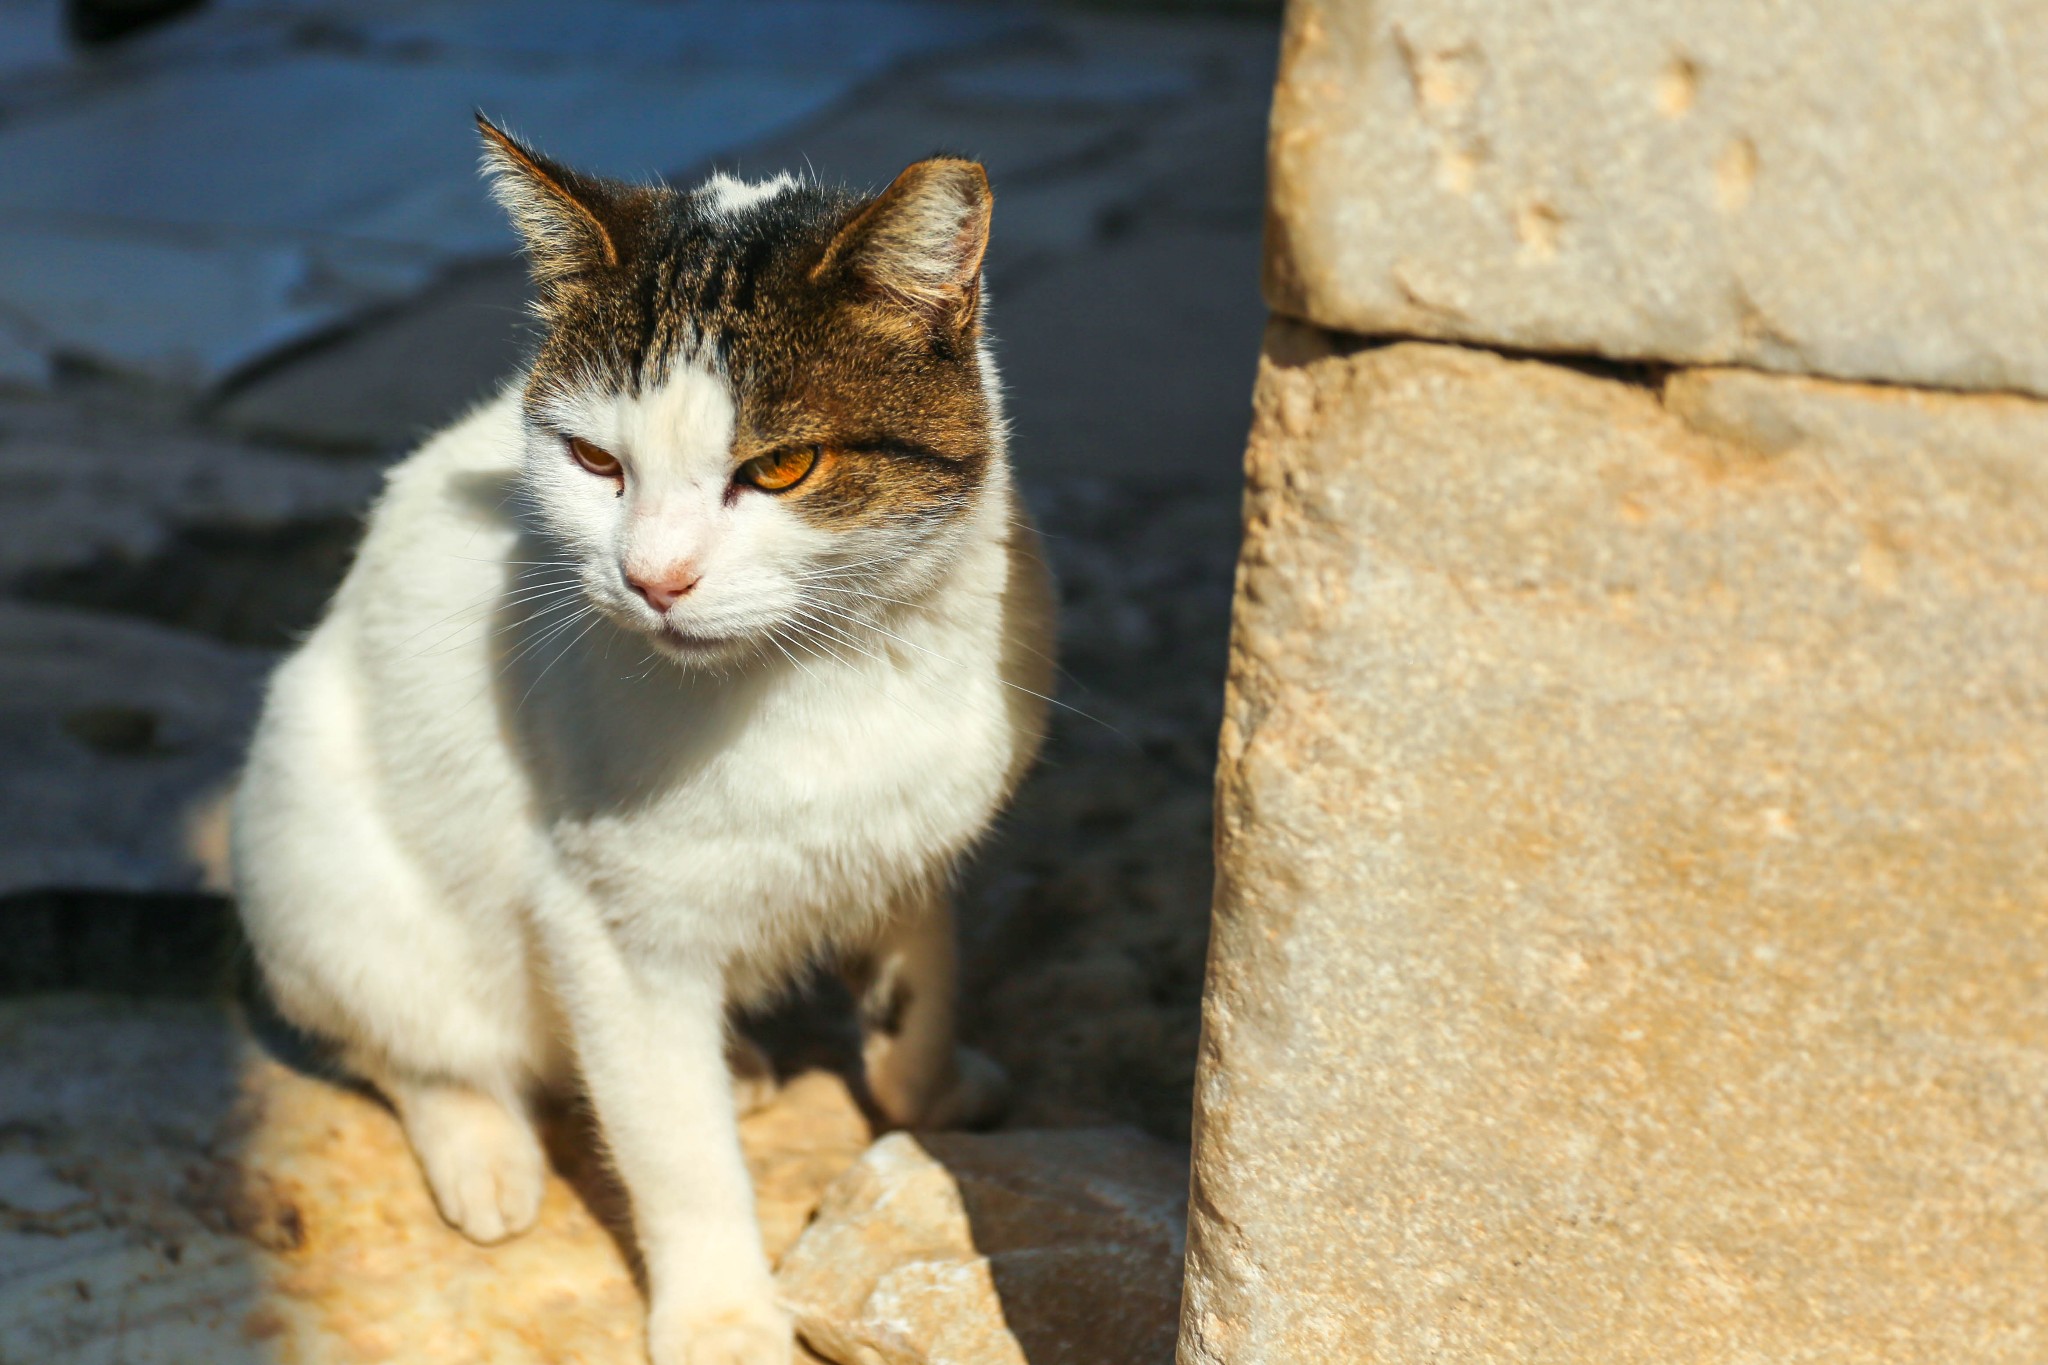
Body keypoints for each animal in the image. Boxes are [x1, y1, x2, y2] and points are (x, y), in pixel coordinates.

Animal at [232, 120, 1048, 1365]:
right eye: (594, 463)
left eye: (780, 467)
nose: (652, 577)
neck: (829, 676)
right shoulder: (608, 923)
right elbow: (674, 1148)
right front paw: (721, 1317)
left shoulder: (914, 841)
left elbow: (922, 980)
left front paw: (930, 1093)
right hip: (313, 851)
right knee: (399, 1039)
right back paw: (485, 1150)